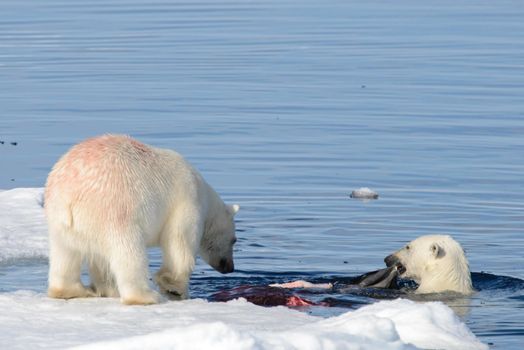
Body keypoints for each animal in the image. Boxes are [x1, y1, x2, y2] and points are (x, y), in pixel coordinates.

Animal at [45, 135, 239, 304]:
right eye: (234, 240)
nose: (230, 267)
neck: (203, 193)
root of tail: (68, 197)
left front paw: (107, 289)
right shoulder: (187, 202)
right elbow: (180, 241)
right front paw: (173, 288)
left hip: (61, 224)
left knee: (65, 252)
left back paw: (72, 290)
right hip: (114, 210)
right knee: (128, 252)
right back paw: (146, 296)